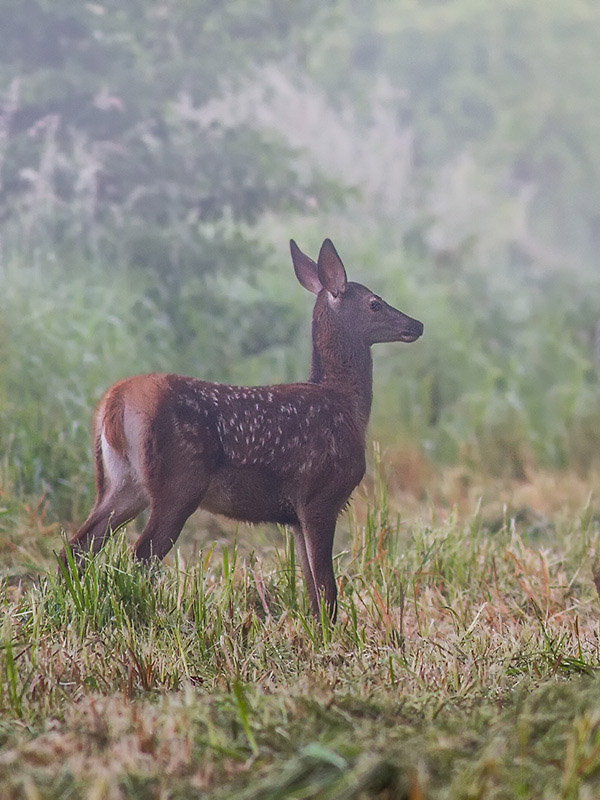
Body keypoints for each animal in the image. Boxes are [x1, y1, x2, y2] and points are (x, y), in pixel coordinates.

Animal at [61, 241, 424, 620]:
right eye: (375, 303)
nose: (417, 324)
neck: (346, 404)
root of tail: (114, 403)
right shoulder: (320, 495)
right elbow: (327, 587)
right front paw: (330, 629)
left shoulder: (295, 515)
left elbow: (311, 586)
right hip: (178, 484)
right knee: (139, 557)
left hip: (121, 482)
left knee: (76, 548)